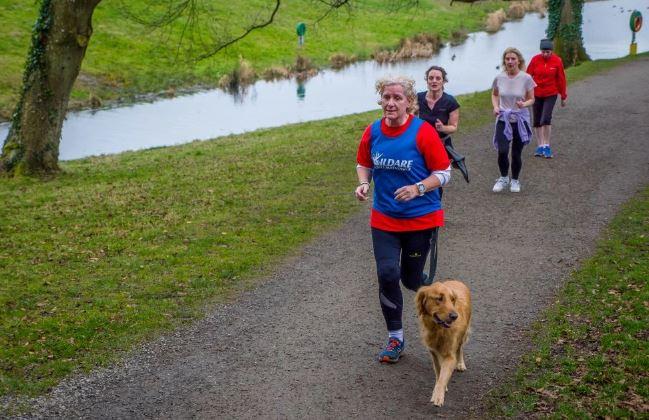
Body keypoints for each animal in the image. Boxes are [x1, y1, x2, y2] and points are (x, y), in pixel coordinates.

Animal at [416, 278, 470, 406]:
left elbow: (444, 375)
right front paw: (440, 386)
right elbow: (438, 371)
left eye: (452, 299)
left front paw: (438, 395)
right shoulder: (433, 352)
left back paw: (460, 364)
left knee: (460, 348)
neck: (438, 330)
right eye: (439, 298)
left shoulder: (450, 356)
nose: (454, 316)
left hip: (462, 336)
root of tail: (456, 280)